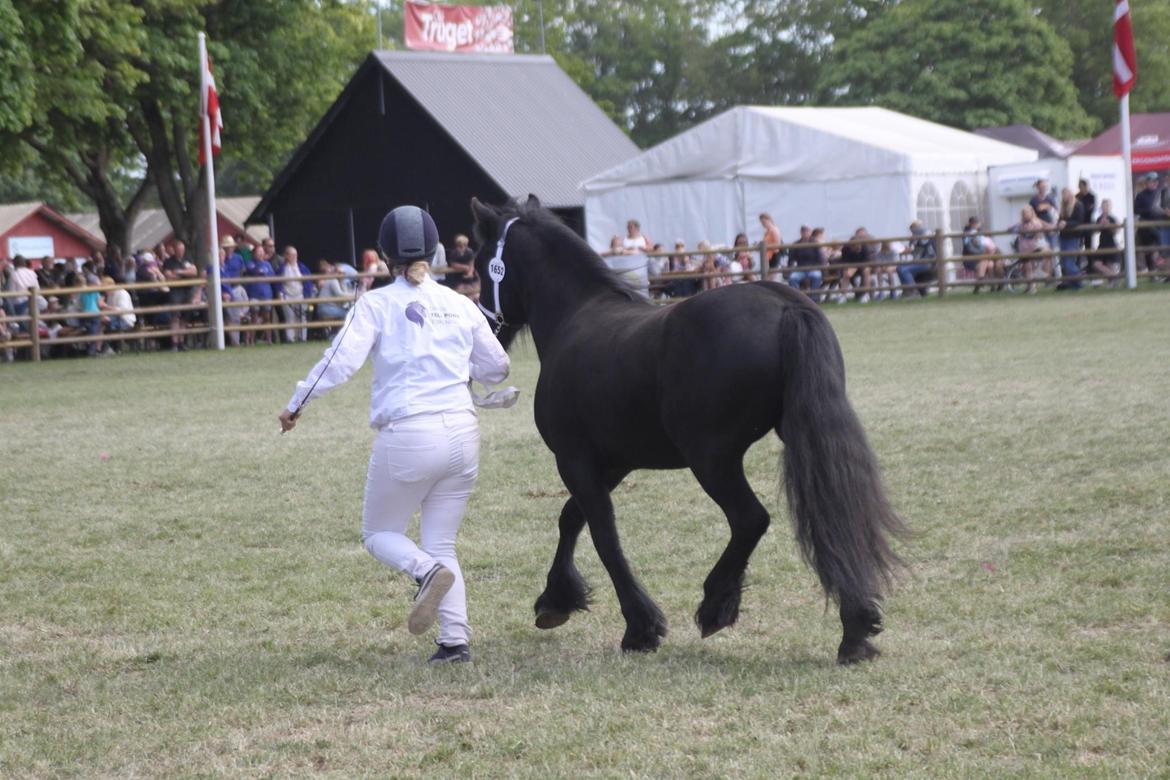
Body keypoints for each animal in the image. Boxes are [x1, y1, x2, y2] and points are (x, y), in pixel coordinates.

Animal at [470, 196, 908, 664]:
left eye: (478, 263)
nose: (485, 327)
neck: (577, 317)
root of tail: (783, 302)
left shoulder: (575, 459)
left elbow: (603, 535)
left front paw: (640, 627)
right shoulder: (613, 461)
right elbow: (572, 517)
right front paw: (556, 600)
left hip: (711, 458)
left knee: (750, 519)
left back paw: (717, 606)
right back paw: (856, 628)